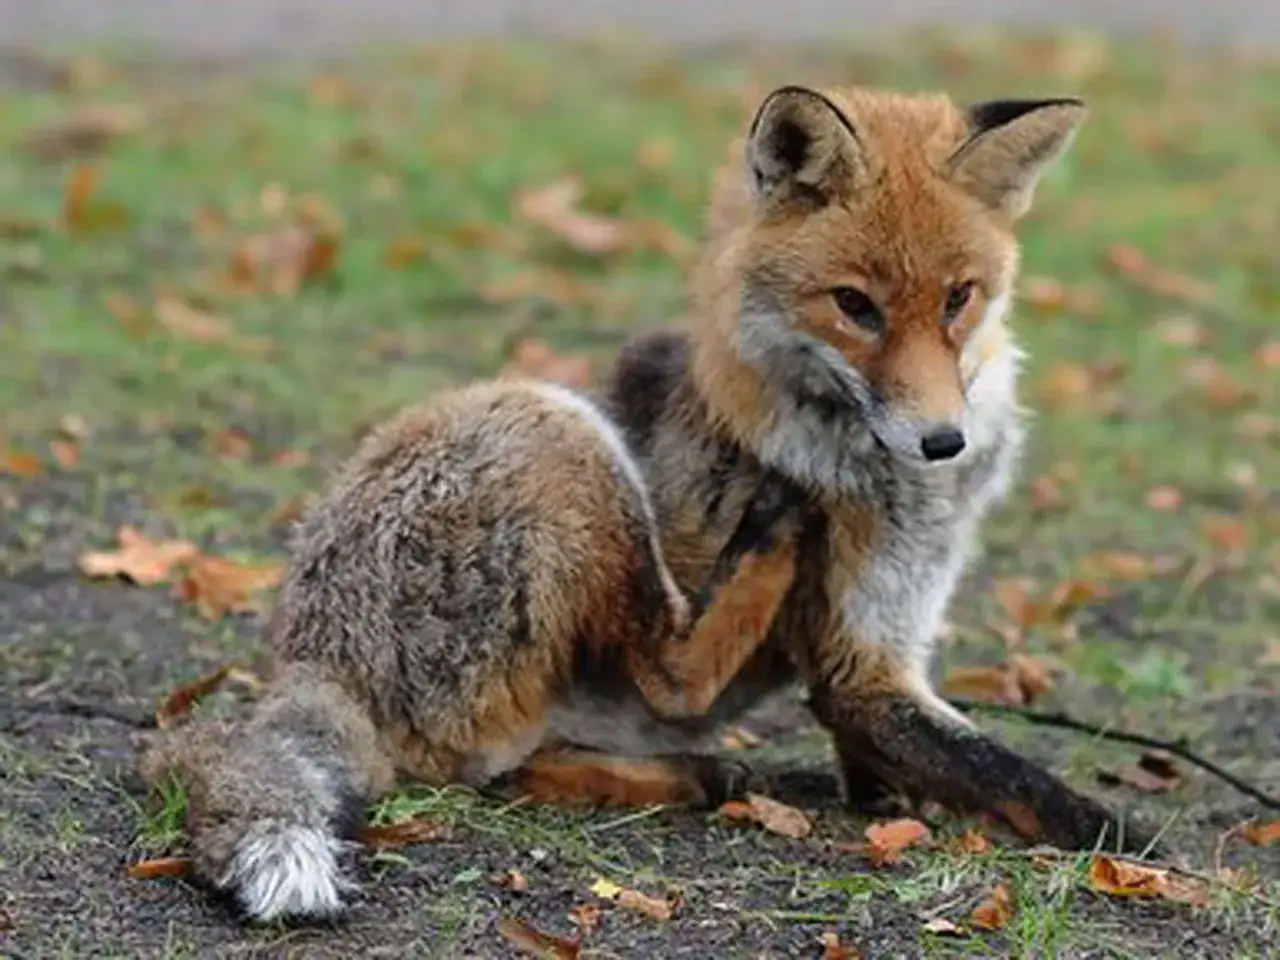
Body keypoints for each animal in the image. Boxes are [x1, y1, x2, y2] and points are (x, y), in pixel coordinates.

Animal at [141, 376, 811, 922]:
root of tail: (319, 663)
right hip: (555, 427)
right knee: (672, 676)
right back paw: (775, 523)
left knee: (526, 766)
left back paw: (696, 774)